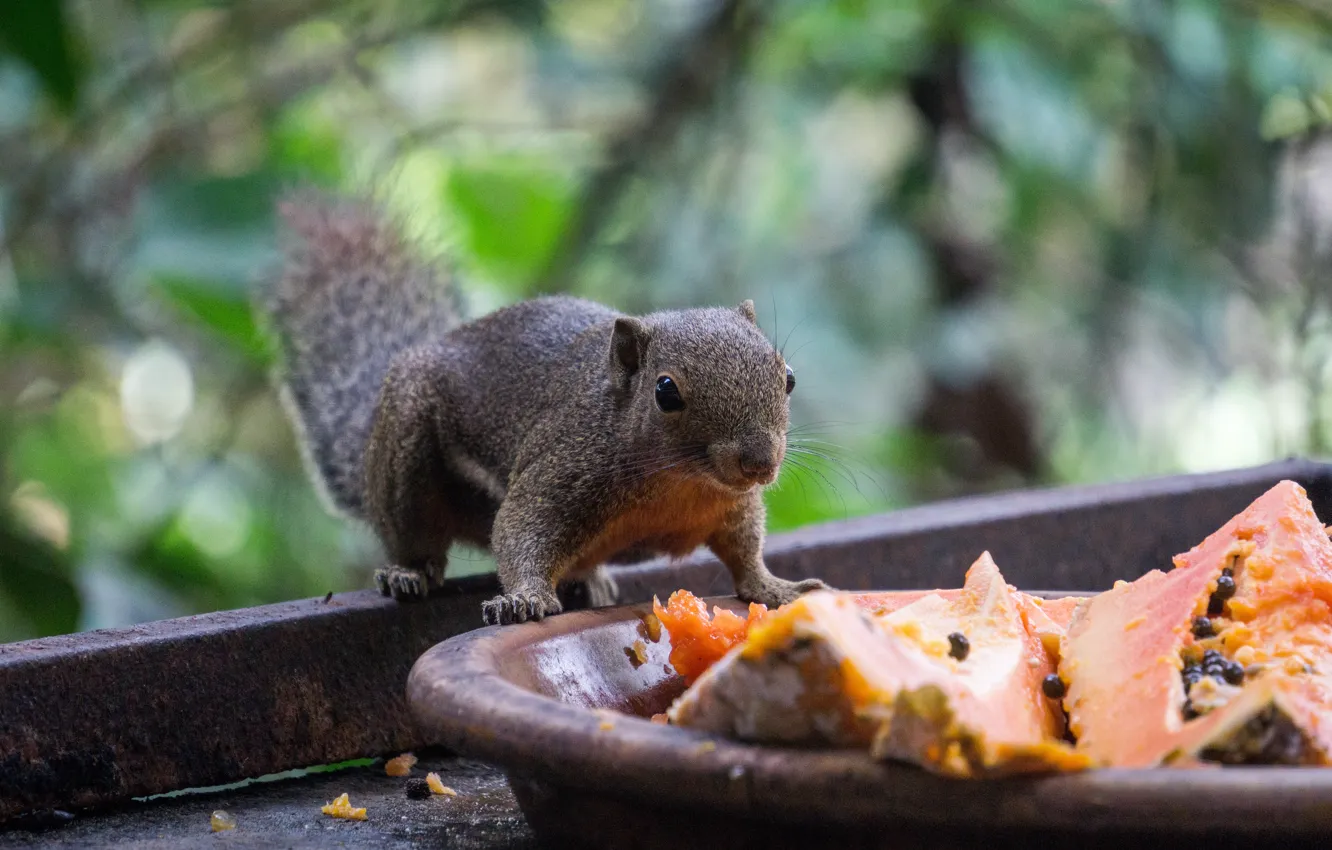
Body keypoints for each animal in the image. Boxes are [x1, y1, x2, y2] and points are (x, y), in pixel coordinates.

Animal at [263, 190, 830, 625]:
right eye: (666, 391)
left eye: (788, 378)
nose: (759, 463)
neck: (680, 481)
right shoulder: (563, 467)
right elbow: (521, 530)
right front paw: (524, 600)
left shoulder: (733, 505)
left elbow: (745, 549)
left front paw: (777, 588)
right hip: (406, 445)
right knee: (413, 535)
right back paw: (407, 572)